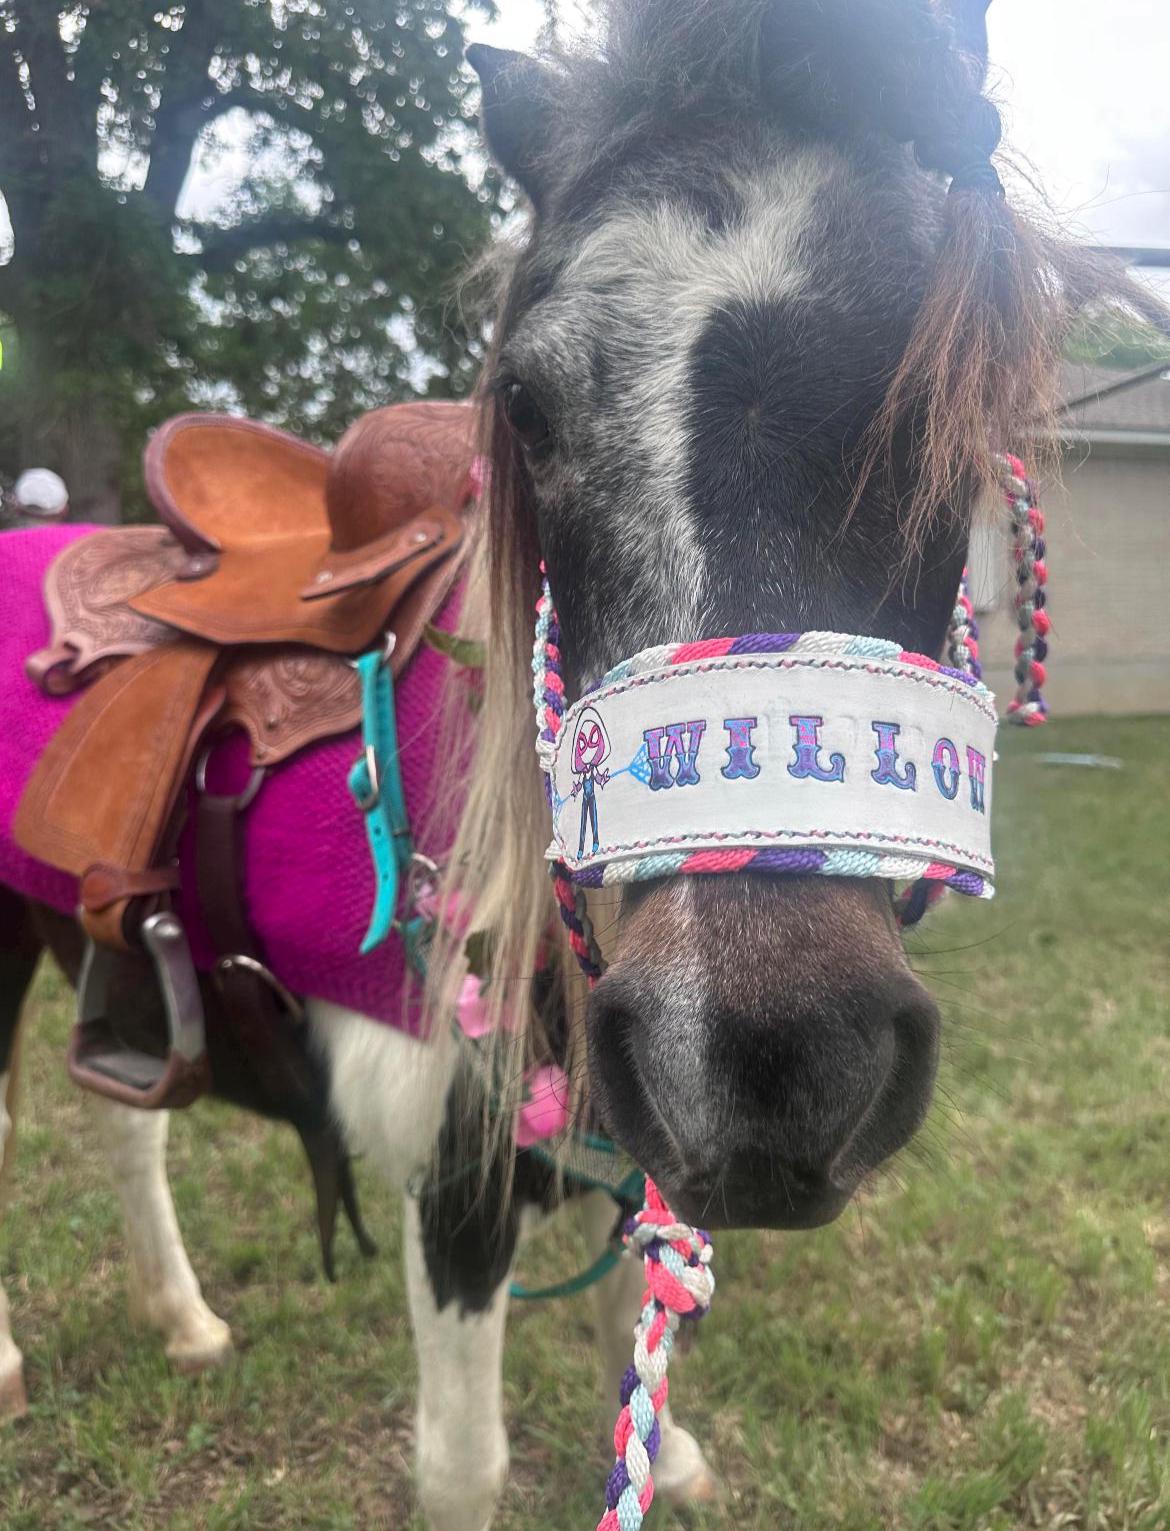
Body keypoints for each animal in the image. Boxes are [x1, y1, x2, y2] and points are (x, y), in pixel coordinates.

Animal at [0, 1, 1155, 1526]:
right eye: (528, 412)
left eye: (952, 406)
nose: (769, 1063)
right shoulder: (456, 1181)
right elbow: (463, 1462)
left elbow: (634, 1328)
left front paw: (669, 1442)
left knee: (127, 1120)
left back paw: (184, 1318)